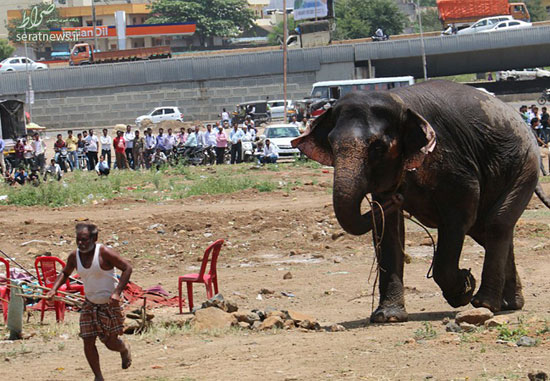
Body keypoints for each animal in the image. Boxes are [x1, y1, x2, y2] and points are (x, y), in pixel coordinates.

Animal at [294, 81, 550, 324]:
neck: (400, 101)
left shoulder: (454, 162)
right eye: (331, 142)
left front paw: (464, 288)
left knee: (495, 224)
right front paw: (388, 317)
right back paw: (509, 303)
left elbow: (461, 214)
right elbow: (388, 229)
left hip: (524, 167)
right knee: (486, 230)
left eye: (378, 147)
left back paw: (484, 303)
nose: (398, 197)